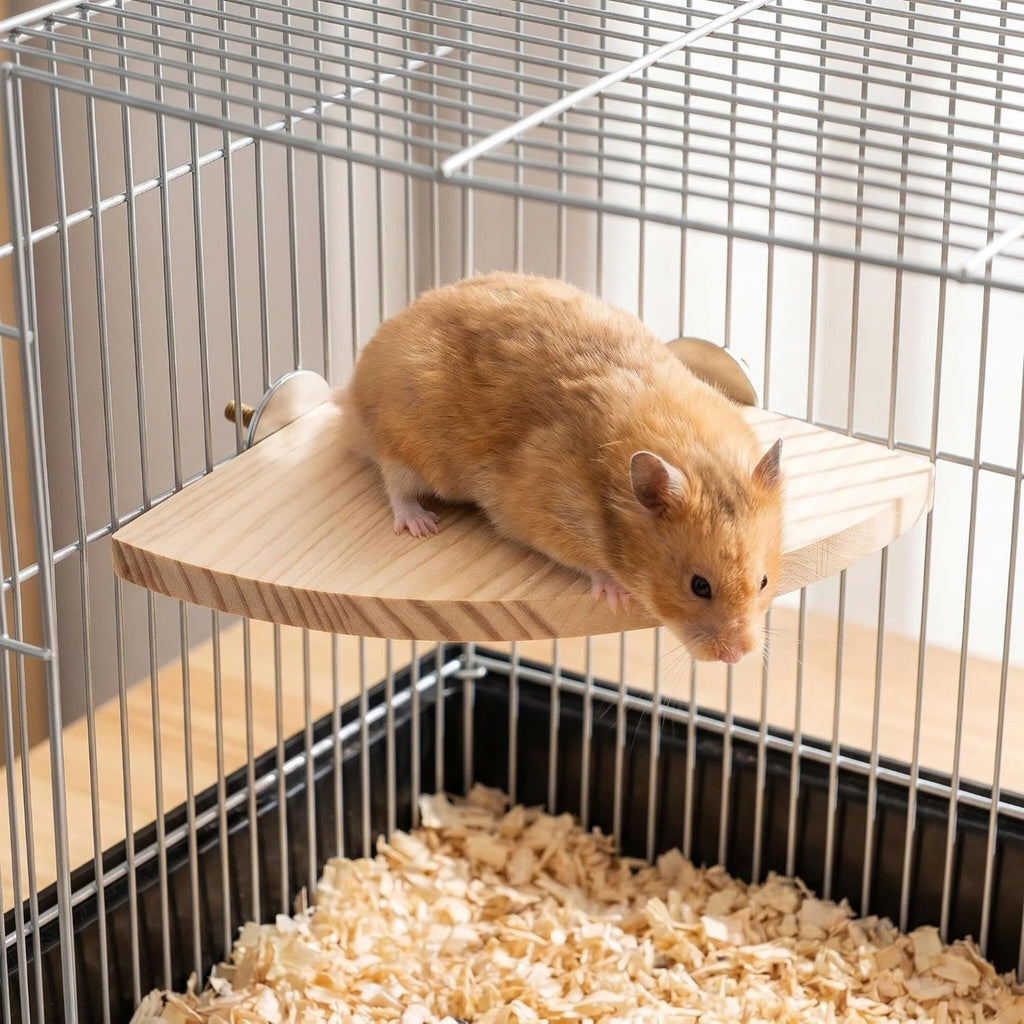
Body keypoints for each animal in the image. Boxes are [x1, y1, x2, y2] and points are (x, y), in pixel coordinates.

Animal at [342, 272, 783, 664]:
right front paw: (615, 593)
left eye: (763, 581)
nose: (736, 657)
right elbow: (590, 563)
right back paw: (420, 525)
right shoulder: (542, 515)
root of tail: (353, 389)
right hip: (402, 437)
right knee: (395, 483)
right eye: (699, 586)